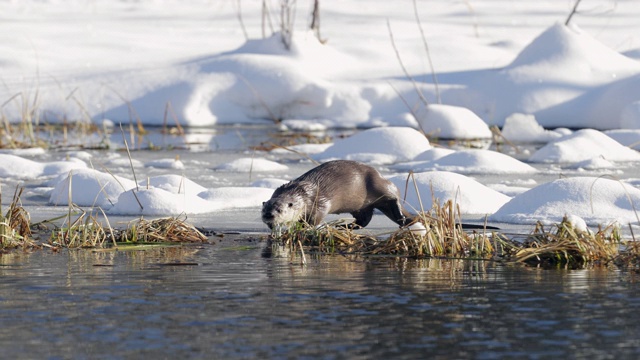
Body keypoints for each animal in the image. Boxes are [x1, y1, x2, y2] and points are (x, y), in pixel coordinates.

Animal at [262, 161, 418, 229]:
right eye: (264, 210)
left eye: (280, 210)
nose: (269, 215)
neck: (302, 195)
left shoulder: (320, 202)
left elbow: (316, 217)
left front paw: (305, 226)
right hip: (360, 206)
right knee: (364, 219)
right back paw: (347, 226)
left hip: (379, 184)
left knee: (393, 196)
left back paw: (401, 217)